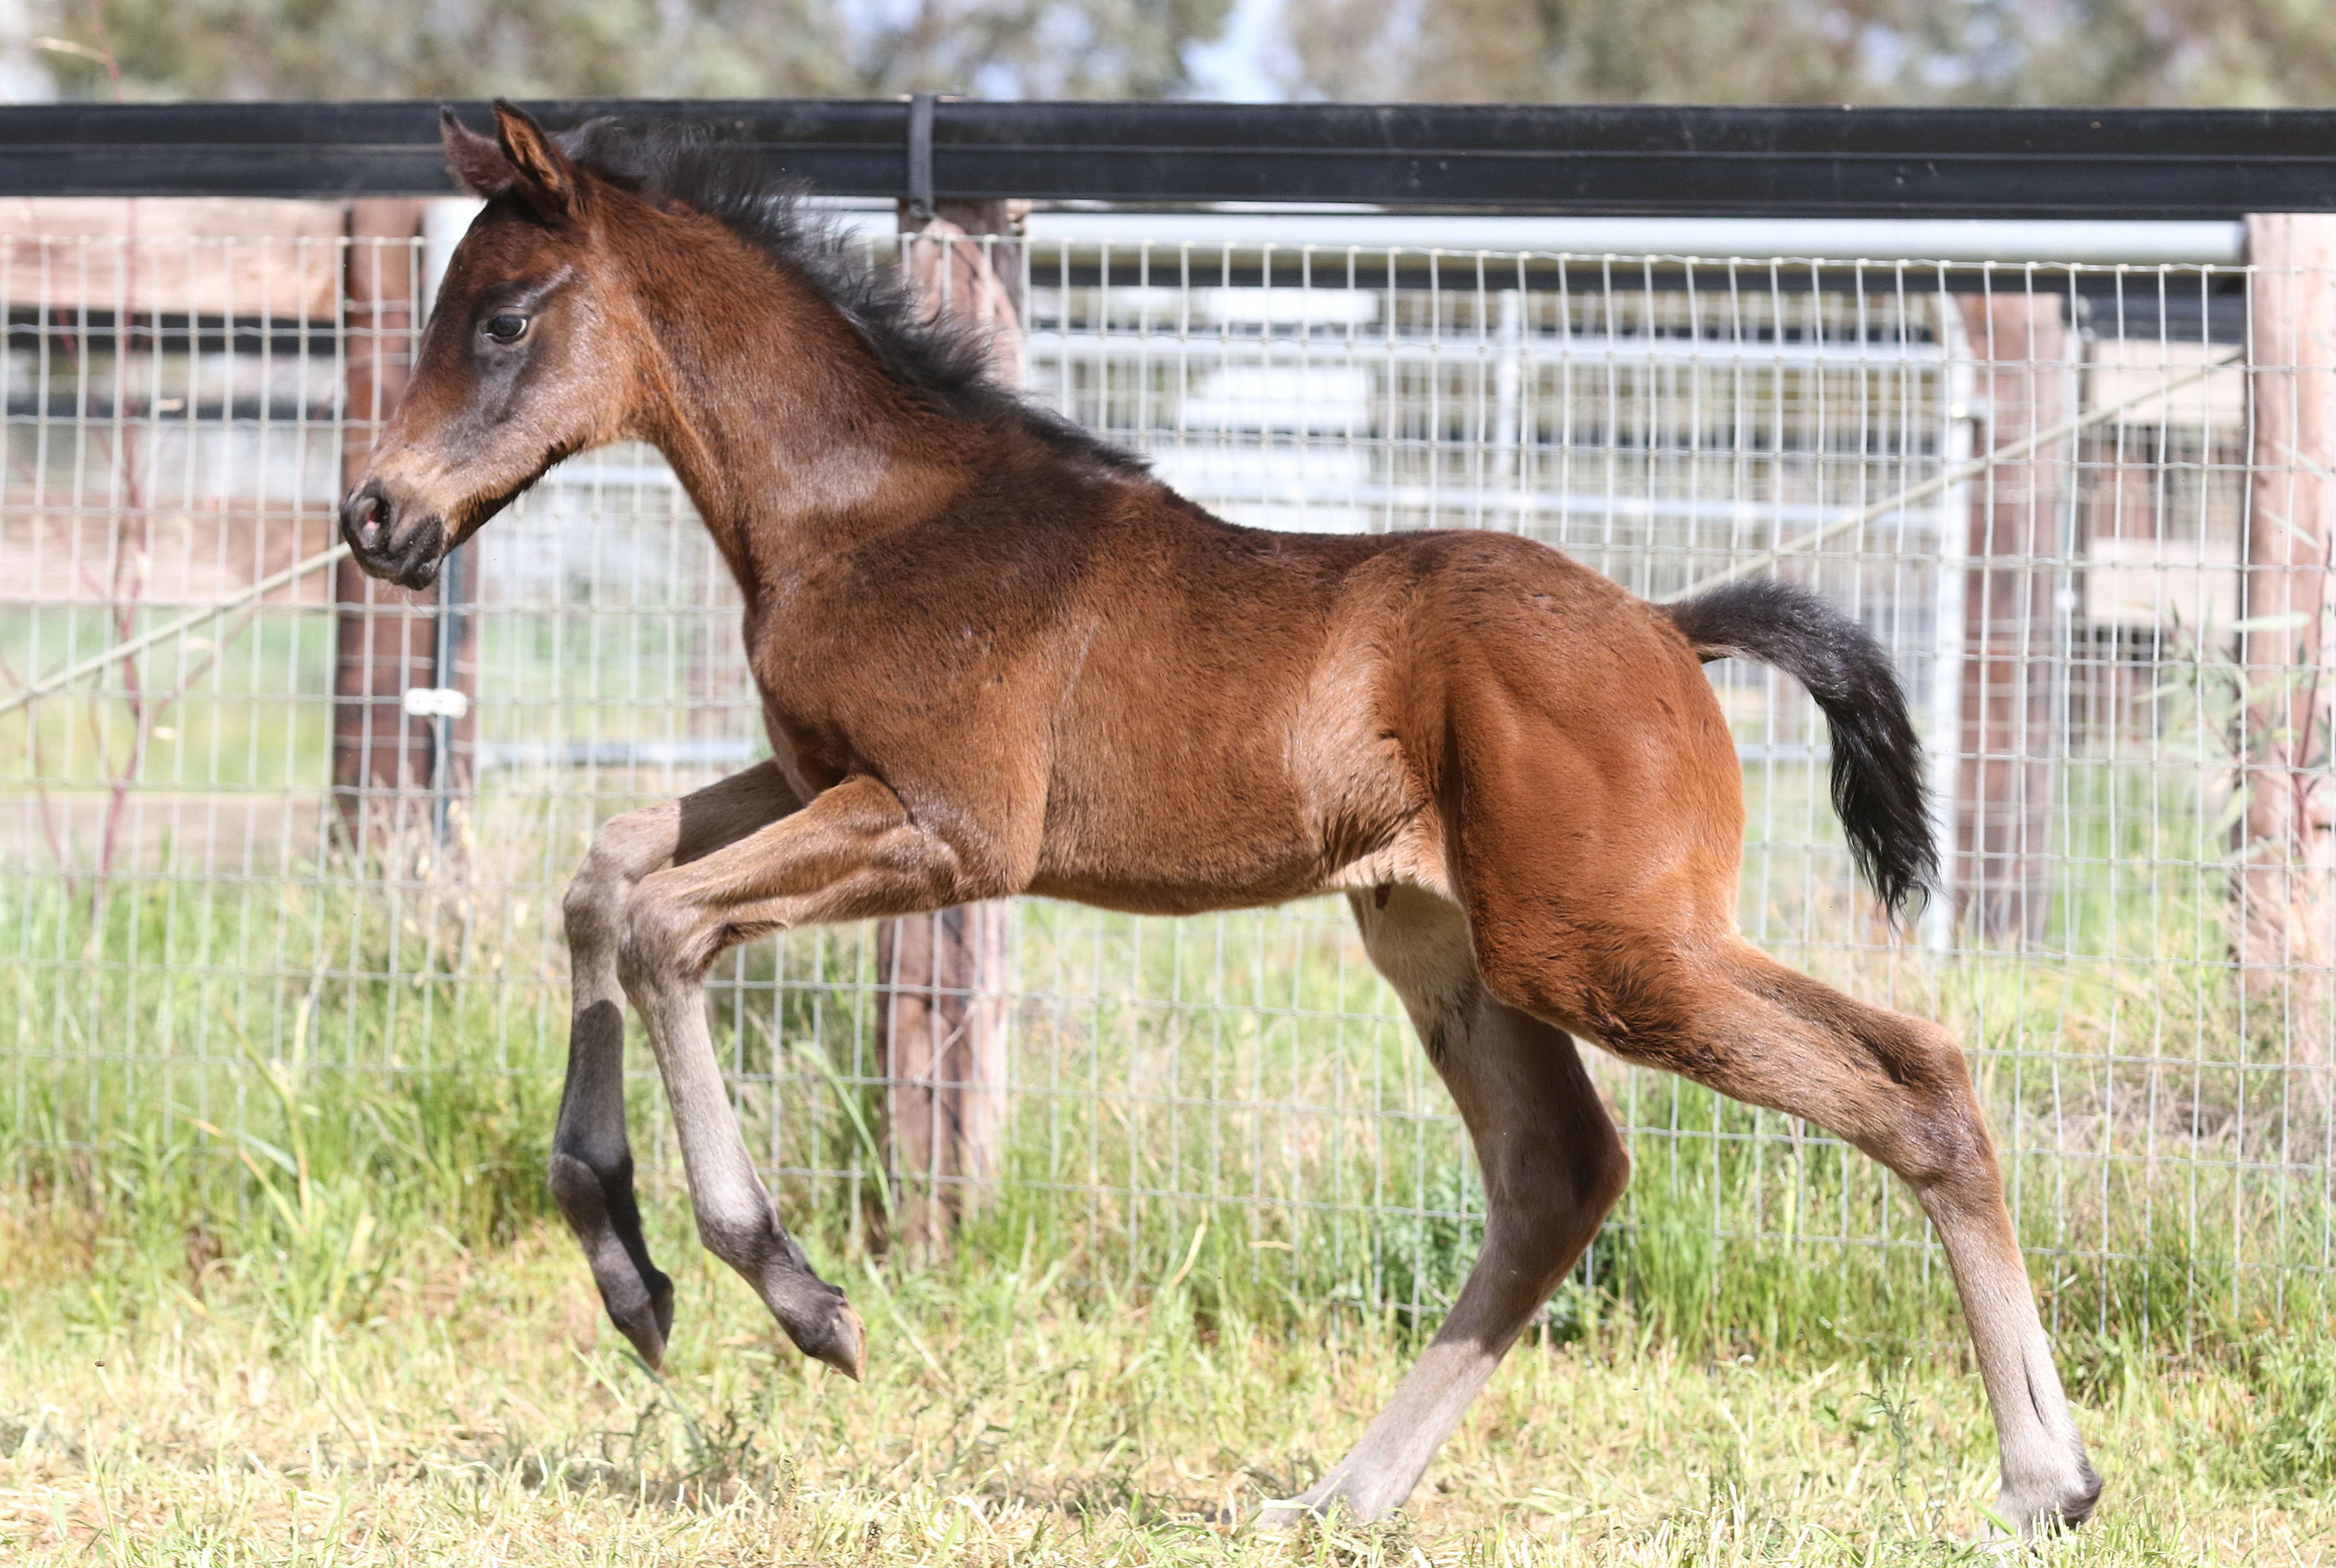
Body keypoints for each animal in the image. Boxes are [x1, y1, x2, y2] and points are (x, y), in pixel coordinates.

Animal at [341, 104, 2102, 1542]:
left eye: (503, 320)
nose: (376, 518)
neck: (869, 511)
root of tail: (1673, 629)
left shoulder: (948, 826)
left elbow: (663, 923)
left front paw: (794, 1292)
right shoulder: (811, 774)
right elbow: (605, 873)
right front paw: (625, 1270)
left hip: (1606, 942)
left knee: (1914, 1081)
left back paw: (2046, 1477)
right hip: (1448, 937)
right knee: (1559, 1173)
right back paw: (1337, 1496)